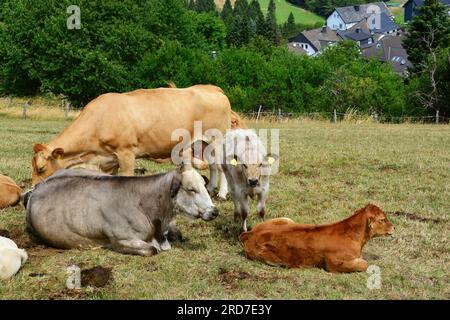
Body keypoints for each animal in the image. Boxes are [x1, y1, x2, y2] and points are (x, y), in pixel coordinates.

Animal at [25, 164, 219, 256]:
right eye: (191, 189)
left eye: (204, 185)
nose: (214, 211)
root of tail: (37, 188)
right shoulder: (120, 240)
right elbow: (151, 249)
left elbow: (177, 234)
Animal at [30, 85, 232, 198]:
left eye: (41, 168)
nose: (32, 191)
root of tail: (212, 88)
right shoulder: (108, 159)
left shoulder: (126, 152)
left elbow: (126, 177)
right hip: (202, 144)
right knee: (213, 166)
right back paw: (210, 188)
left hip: (217, 138)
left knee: (221, 166)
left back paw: (222, 193)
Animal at [239, 204, 394, 272]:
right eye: (382, 219)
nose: (394, 227)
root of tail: (249, 233)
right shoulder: (334, 264)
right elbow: (364, 264)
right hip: (272, 258)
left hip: (286, 219)